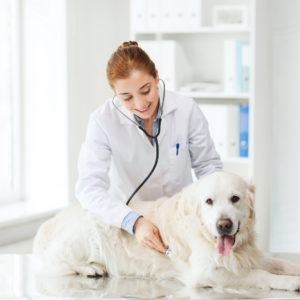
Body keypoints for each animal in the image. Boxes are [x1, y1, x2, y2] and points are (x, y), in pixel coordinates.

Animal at [33, 171, 300, 290]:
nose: (223, 225)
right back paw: (92, 268)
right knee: (57, 263)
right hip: (87, 231)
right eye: (209, 201)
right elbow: (261, 275)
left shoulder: (249, 254)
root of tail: (52, 220)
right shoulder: (205, 273)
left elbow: (280, 263)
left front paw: (293, 271)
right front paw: (288, 283)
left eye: (235, 198)